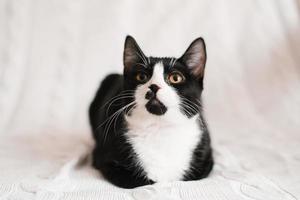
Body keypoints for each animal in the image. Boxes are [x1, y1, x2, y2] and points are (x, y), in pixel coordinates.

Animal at [89, 36, 213, 189]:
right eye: (142, 76)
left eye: (175, 78)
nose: (154, 86)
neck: (159, 128)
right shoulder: (104, 157)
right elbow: (139, 182)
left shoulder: (206, 159)